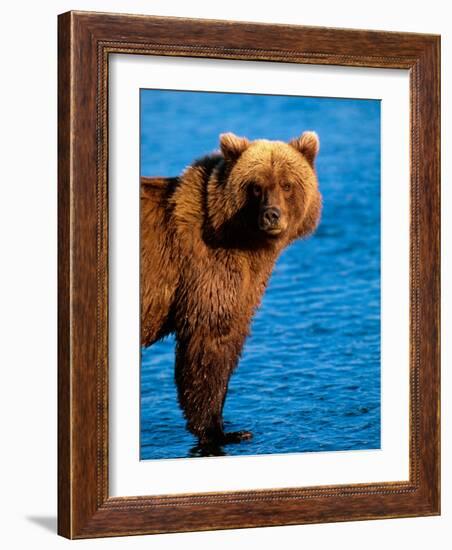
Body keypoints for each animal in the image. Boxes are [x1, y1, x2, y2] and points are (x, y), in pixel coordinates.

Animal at [141, 133, 322, 448]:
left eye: (286, 184)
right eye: (256, 186)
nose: (272, 215)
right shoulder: (206, 271)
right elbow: (209, 344)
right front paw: (222, 431)